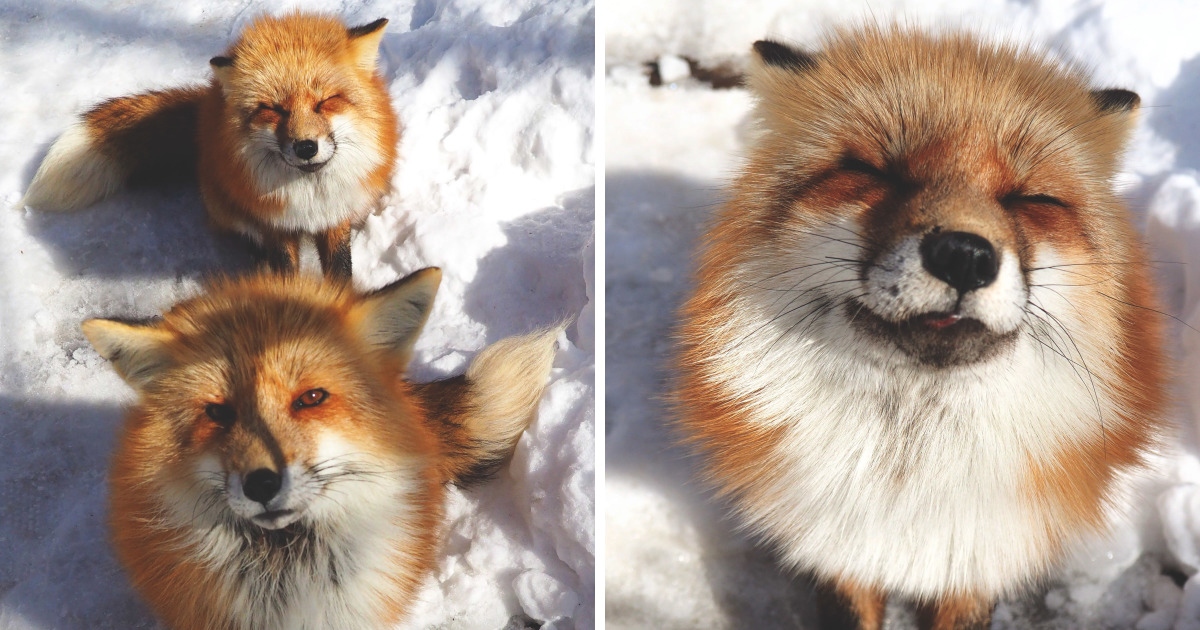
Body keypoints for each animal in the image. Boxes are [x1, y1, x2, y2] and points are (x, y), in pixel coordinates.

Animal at [23, 12, 400, 280]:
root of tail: (206, 109)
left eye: (326, 102)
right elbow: (284, 271)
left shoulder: (335, 216)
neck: (310, 197)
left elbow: (341, 272)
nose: (306, 147)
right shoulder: (274, 226)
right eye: (273, 109)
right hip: (222, 203)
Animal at [673, 26, 1170, 630]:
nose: (964, 255)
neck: (909, 485)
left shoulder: (977, 567)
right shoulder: (839, 554)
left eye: (1033, 199)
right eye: (872, 171)